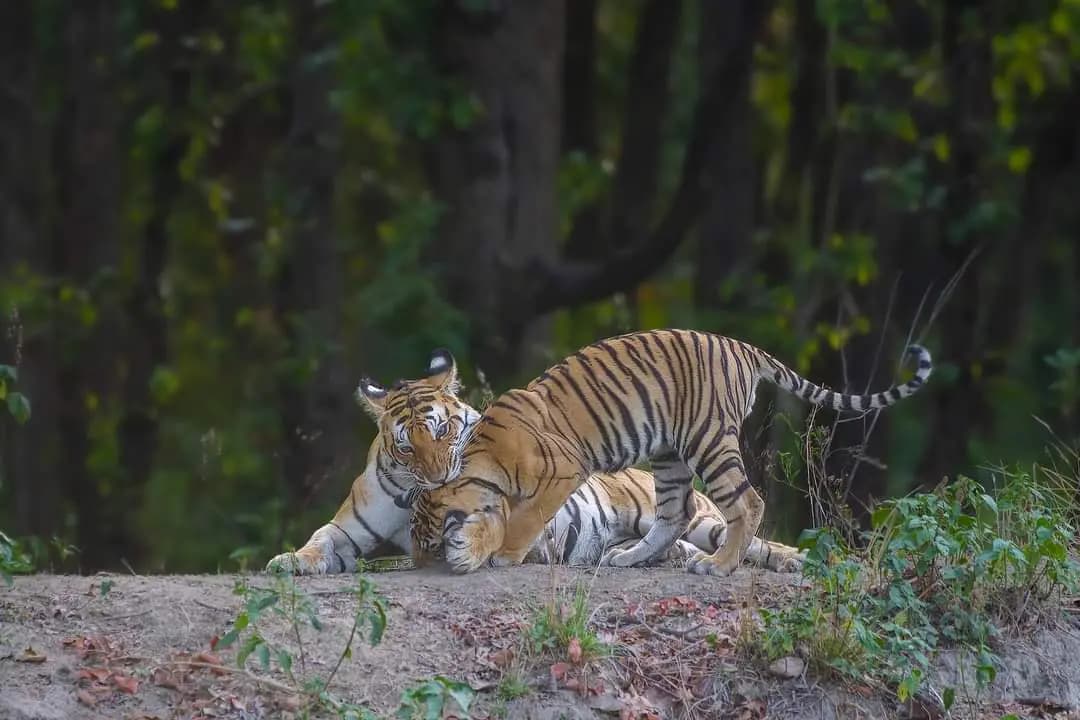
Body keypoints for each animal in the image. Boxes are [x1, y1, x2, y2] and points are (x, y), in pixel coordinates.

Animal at [372, 329, 932, 576]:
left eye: (429, 533)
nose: (419, 562)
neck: (480, 459)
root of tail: (741, 346)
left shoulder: (564, 472)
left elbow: (527, 518)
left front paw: (505, 553)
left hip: (708, 439)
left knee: (746, 503)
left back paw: (718, 566)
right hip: (669, 454)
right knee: (673, 515)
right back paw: (629, 557)